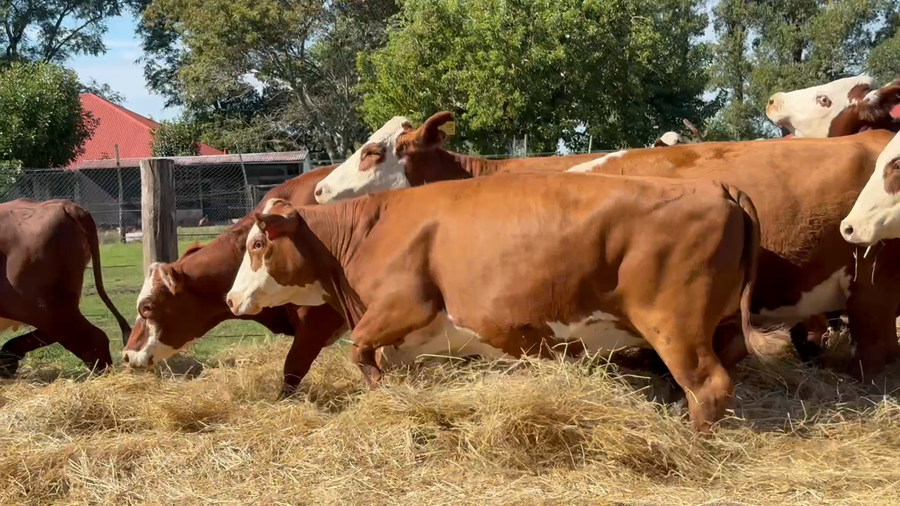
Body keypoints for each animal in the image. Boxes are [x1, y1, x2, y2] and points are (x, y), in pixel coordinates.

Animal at [226, 172, 764, 432]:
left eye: (257, 244)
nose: (232, 298)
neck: (366, 233)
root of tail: (714, 184)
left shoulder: (405, 305)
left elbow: (359, 350)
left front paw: (379, 391)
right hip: (715, 325)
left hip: (675, 324)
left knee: (709, 385)